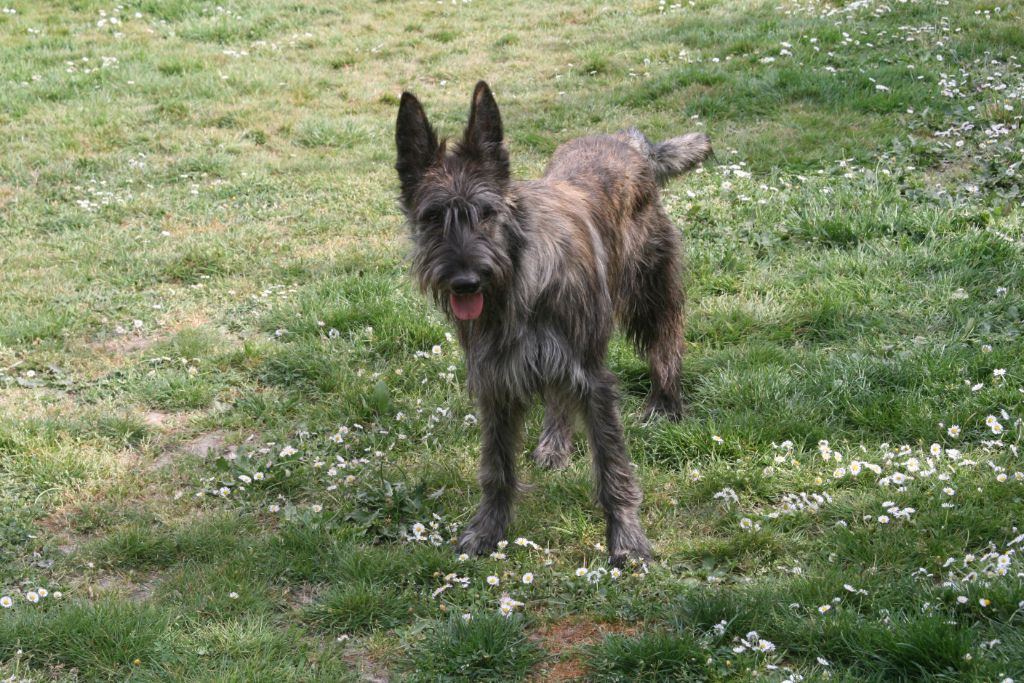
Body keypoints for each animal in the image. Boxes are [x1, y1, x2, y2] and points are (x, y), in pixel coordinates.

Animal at [393, 81, 712, 565]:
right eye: (432, 217)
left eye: (485, 212)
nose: (466, 281)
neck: (519, 281)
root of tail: (628, 141)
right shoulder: (497, 381)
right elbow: (497, 468)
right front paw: (488, 530)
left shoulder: (593, 378)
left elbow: (613, 470)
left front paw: (627, 540)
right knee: (558, 399)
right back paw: (554, 443)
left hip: (650, 294)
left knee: (667, 343)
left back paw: (665, 404)